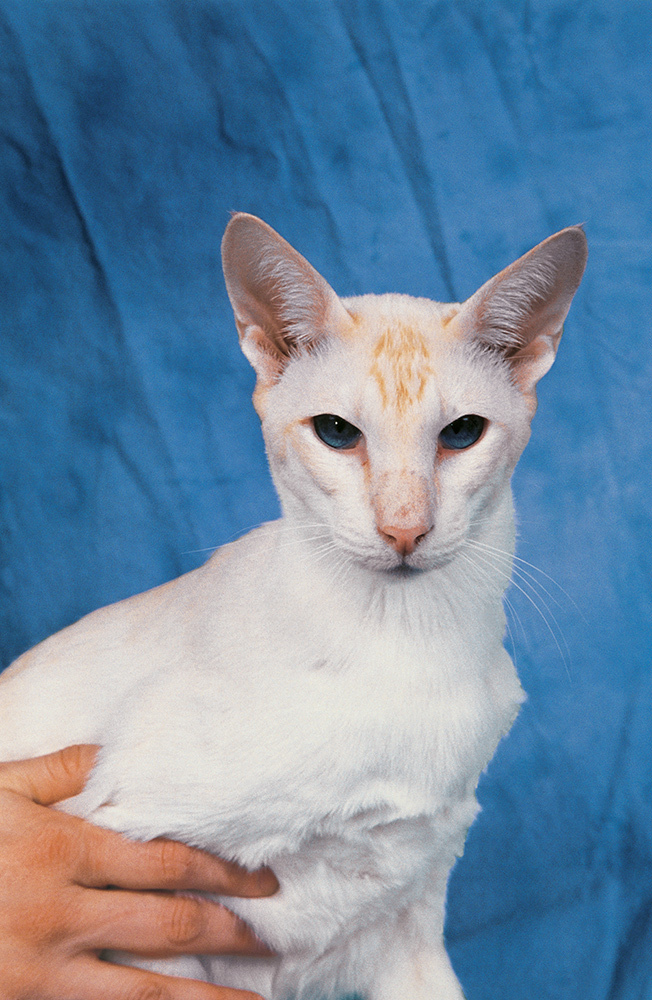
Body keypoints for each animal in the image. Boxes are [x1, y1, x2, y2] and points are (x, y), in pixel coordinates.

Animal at [0, 217, 588, 1000]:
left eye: (462, 433)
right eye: (337, 432)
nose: (405, 530)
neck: (402, 650)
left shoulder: (410, 925)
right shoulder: (138, 887)